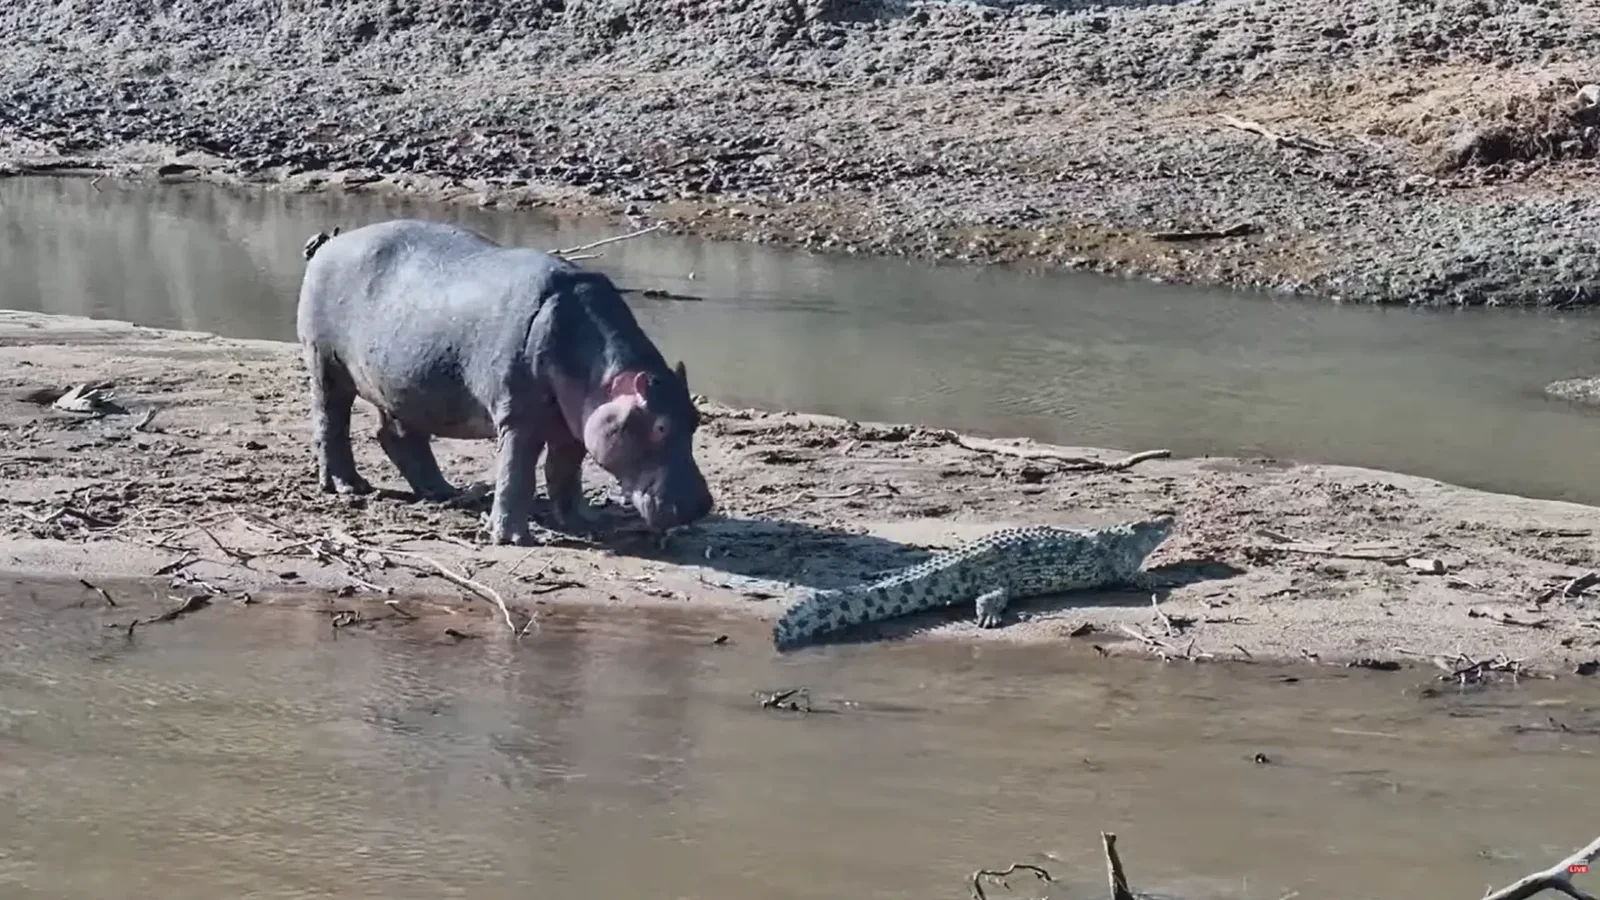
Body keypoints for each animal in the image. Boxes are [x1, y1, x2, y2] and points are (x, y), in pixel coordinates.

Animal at [295, 218, 714, 545]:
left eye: (695, 419)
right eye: (660, 426)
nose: (701, 506)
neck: (607, 379)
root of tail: (330, 243)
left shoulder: (573, 425)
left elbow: (565, 474)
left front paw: (583, 523)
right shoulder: (518, 417)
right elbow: (518, 473)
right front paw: (511, 538)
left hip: (400, 383)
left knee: (397, 435)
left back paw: (444, 492)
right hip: (326, 364)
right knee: (332, 422)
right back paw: (349, 486)